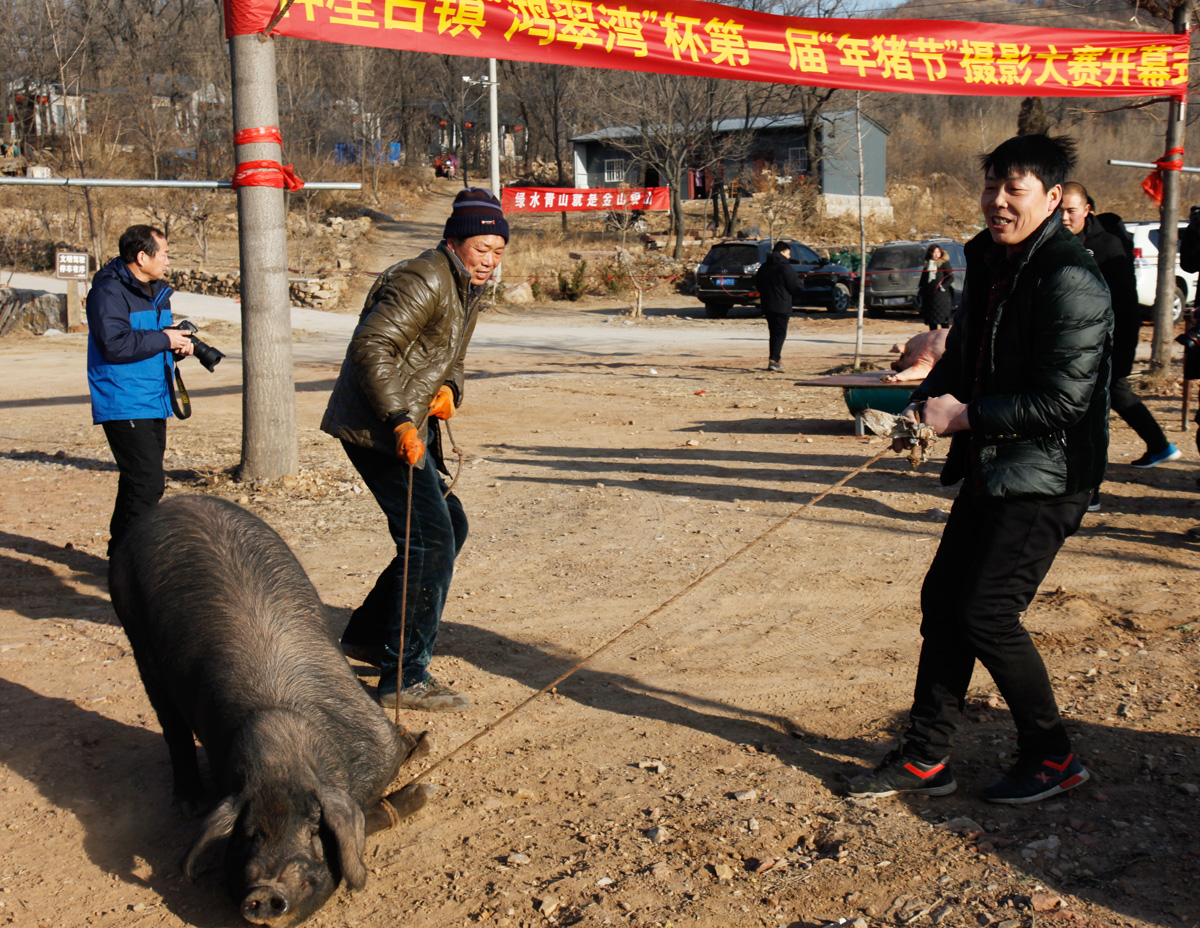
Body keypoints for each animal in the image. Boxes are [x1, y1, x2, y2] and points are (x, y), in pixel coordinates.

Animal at [108, 497, 427, 921]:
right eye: (249, 835)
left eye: (313, 829)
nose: (265, 892)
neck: (283, 743)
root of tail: (173, 503)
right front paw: (422, 790)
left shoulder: (378, 743)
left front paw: (423, 776)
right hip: (134, 633)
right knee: (171, 726)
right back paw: (190, 806)